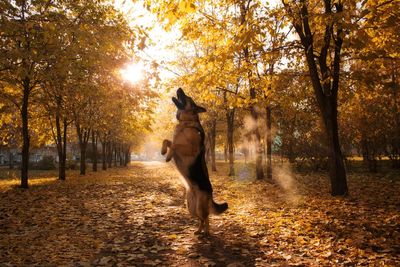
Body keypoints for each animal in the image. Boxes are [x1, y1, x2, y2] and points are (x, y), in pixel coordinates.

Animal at [160, 88, 228, 237]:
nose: (179, 88)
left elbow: (174, 144)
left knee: (207, 218)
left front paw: (168, 156)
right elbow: (167, 140)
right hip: (191, 208)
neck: (185, 123)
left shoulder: (189, 149)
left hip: (199, 208)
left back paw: (206, 232)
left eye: (188, 98)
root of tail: (210, 195)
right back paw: (198, 231)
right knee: (201, 220)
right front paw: (163, 151)